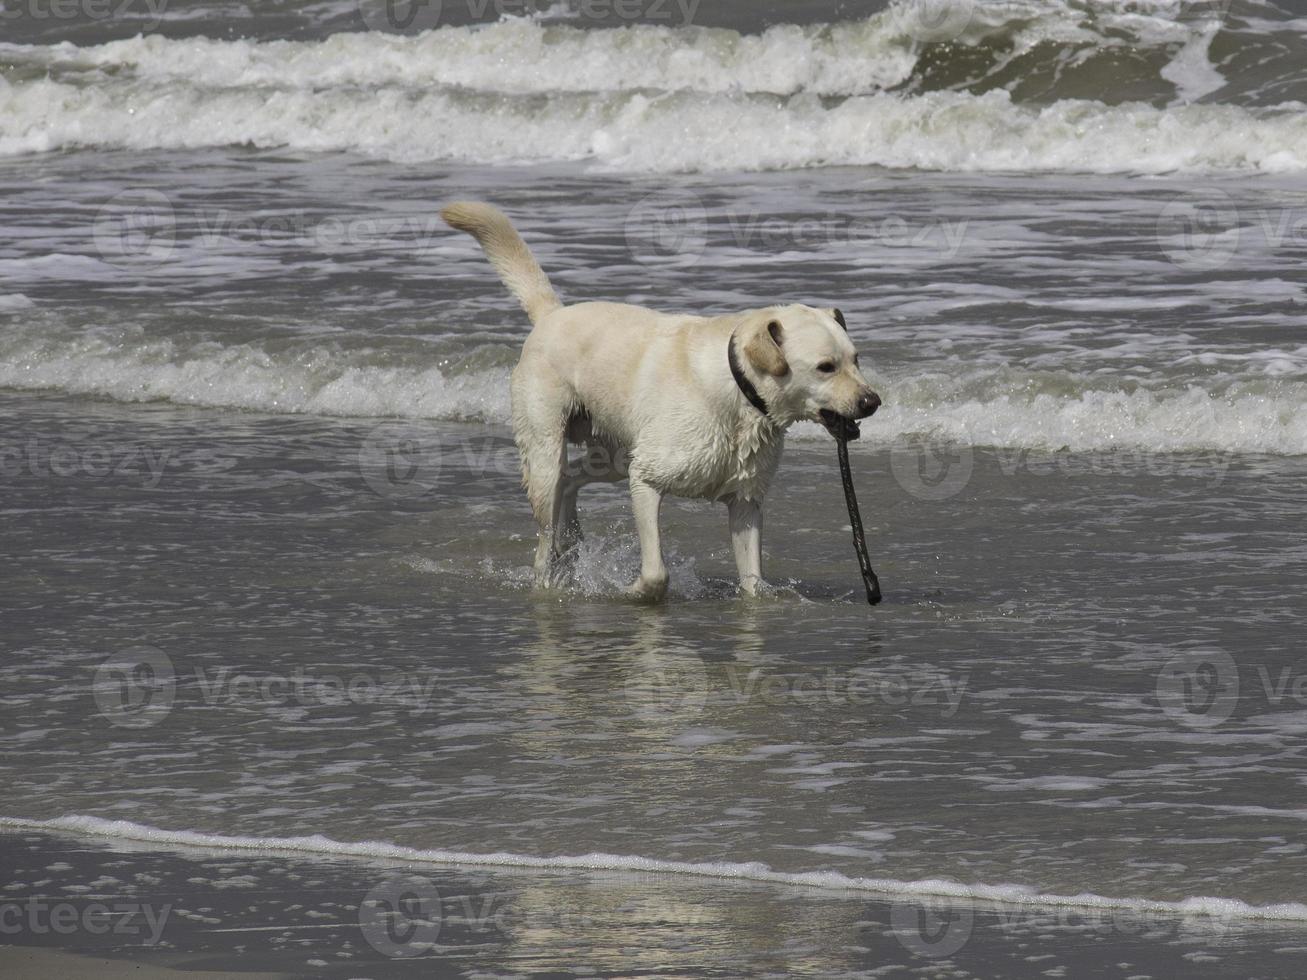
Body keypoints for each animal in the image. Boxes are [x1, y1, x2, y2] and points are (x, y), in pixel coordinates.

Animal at [439, 201, 878, 598]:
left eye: (856, 359)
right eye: (825, 367)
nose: (873, 402)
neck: (738, 394)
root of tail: (551, 315)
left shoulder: (745, 501)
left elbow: (753, 581)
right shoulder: (646, 479)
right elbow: (656, 573)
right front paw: (633, 591)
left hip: (615, 453)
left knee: (574, 476)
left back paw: (573, 538)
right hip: (549, 448)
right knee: (546, 531)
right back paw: (551, 576)